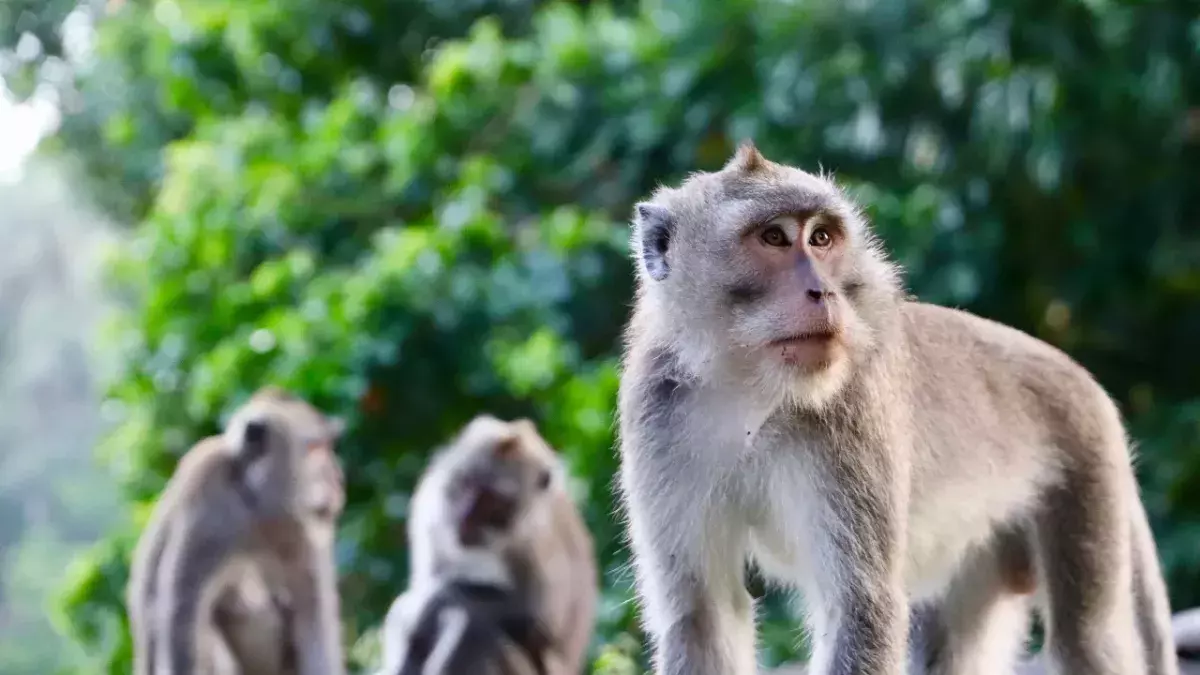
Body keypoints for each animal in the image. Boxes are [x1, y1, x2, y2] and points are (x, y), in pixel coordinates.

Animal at [126, 386, 347, 675]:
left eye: (327, 447)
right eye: (315, 449)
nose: (339, 479)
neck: (253, 501)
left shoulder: (303, 531)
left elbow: (313, 612)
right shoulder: (207, 490)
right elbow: (181, 614)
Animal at [380, 415, 597, 675]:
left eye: (495, 504)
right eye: (468, 484)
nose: (466, 518)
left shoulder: (536, 540)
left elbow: (539, 627)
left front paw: (441, 599)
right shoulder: (429, 509)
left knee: (478, 624)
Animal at [615, 142, 1178, 675]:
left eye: (821, 238)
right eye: (773, 238)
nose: (823, 291)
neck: (751, 392)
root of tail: (1081, 378)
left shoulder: (853, 411)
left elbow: (861, 606)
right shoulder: (654, 415)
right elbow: (701, 614)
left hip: (1085, 469)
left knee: (1086, 639)